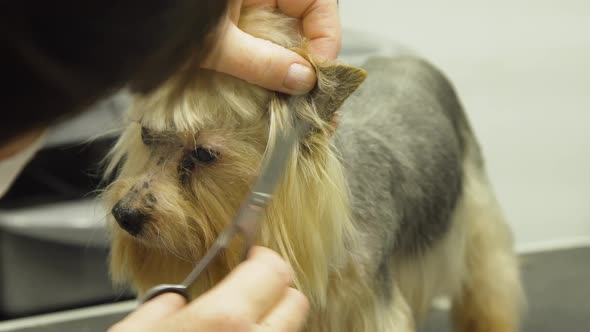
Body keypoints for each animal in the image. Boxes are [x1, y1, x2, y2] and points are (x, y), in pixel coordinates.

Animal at [104, 5, 524, 332]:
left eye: (205, 154)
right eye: (147, 136)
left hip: (477, 217)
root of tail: (408, 58)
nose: (125, 215)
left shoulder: (369, 309)